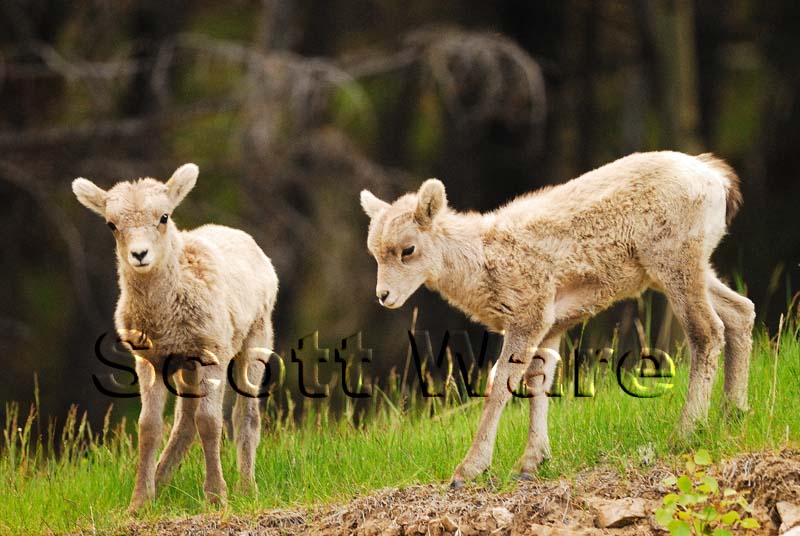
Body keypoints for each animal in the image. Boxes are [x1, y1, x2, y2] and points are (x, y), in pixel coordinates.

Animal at [72, 164, 278, 512]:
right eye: (112, 224)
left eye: (164, 216)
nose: (139, 254)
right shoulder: (148, 362)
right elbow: (149, 427)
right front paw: (139, 502)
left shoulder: (211, 353)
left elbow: (210, 423)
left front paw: (216, 497)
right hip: (185, 367)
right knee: (185, 421)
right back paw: (162, 479)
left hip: (255, 339)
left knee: (244, 415)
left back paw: (246, 489)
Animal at [360, 151, 755, 488]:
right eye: (373, 252)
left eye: (407, 249)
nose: (384, 296)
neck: (483, 262)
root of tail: (715, 178)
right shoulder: (550, 329)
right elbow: (539, 381)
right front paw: (530, 465)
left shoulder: (528, 318)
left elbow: (501, 383)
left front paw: (468, 470)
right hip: (687, 270)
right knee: (741, 312)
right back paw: (733, 413)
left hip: (676, 264)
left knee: (707, 332)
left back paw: (685, 432)